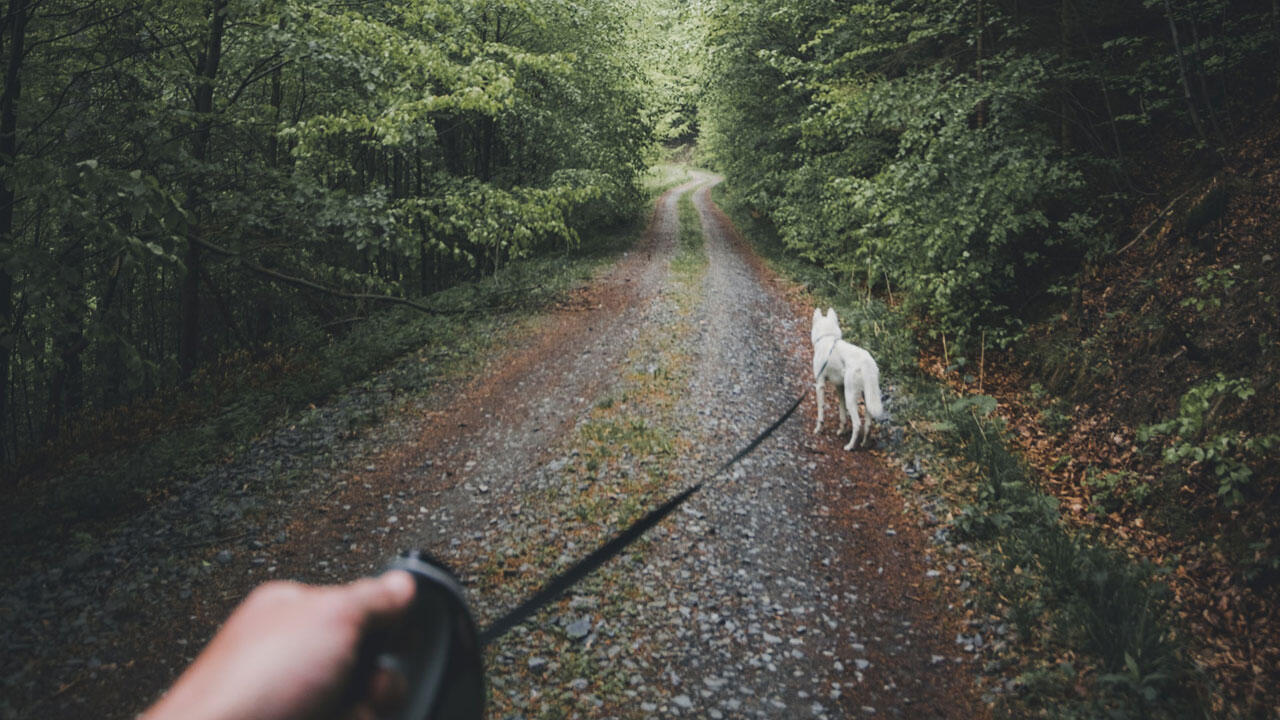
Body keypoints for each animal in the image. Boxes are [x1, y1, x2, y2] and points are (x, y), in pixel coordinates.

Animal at [814, 307, 885, 448]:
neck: (827, 337)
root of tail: (866, 362)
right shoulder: (840, 388)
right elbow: (842, 414)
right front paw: (841, 430)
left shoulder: (819, 385)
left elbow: (820, 412)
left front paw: (818, 429)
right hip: (866, 396)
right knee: (868, 424)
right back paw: (863, 443)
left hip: (851, 397)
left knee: (857, 424)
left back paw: (849, 446)